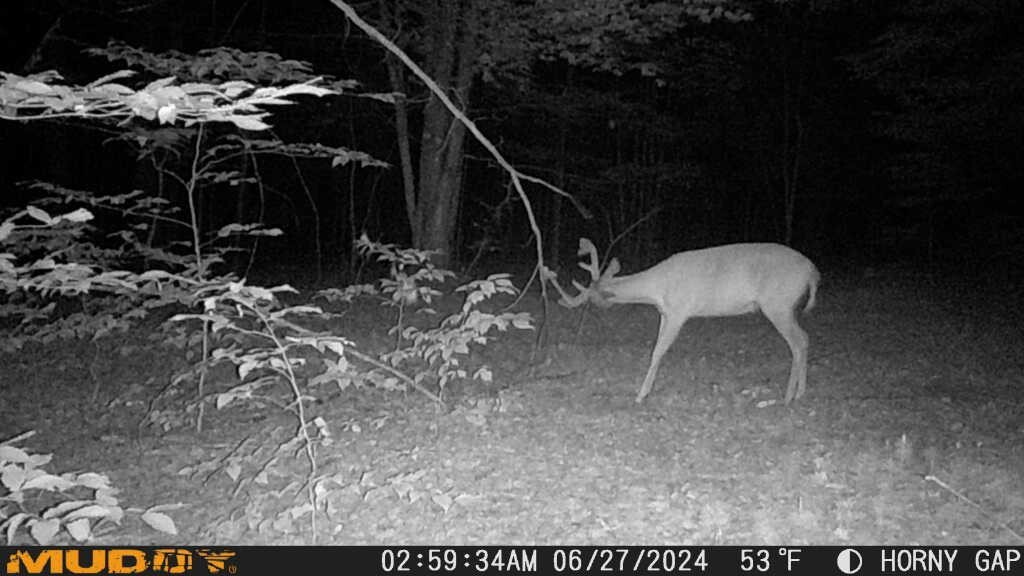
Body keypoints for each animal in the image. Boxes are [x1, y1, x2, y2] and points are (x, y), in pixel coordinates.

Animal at [543, 238, 820, 405]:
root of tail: (812, 272)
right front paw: (646, 390)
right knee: (805, 338)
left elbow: (657, 351)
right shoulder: (665, 313)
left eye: (593, 297)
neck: (658, 287)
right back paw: (800, 393)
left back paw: (789, 395)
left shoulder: (679, 311)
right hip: (785, 306)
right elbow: (657, 349)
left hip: (778, 303)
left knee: (799, 341)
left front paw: (640, 394)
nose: (595, 309)